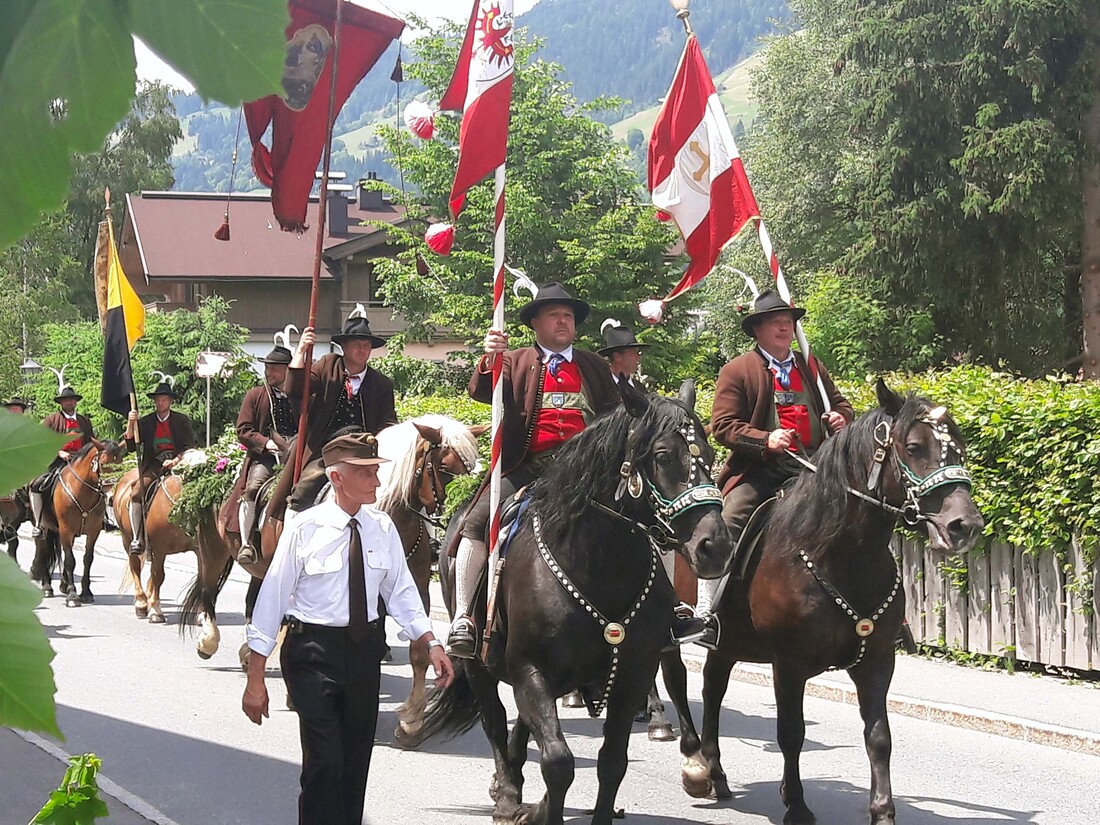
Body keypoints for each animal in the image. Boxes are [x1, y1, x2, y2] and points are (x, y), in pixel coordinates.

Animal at [28, 440, 124, 607]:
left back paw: (64, 584)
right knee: (44, 549)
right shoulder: (66, 530)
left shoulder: (93, 532)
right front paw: (73, 596)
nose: (112, 497)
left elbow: (88, 559)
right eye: (103, 463)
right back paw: (47, 587)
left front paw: (86, 593)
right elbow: (70, 561)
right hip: (44, 527)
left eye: (120, 463)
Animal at [409, 380, 734, 825]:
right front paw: (533, 804)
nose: (715, 546)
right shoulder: (531, 671)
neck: (595, 566)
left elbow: (612, 761)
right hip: (478, 662)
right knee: (495, 720)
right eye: (663, 455)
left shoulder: (631, 673)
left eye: (710, 455)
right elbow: (558, 762)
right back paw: (507, 792)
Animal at [655, 380, 985, 825]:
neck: (833, 553)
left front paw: (882, 810)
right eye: (914, 446)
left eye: (961, 446)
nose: (964, 525)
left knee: (712, 689)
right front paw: (795, 804)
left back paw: (716, 773)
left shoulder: (877, 661)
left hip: (729, 644)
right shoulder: (788, 665)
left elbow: (878, 736)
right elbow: (791, 733)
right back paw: (694, 766)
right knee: (679, 682)